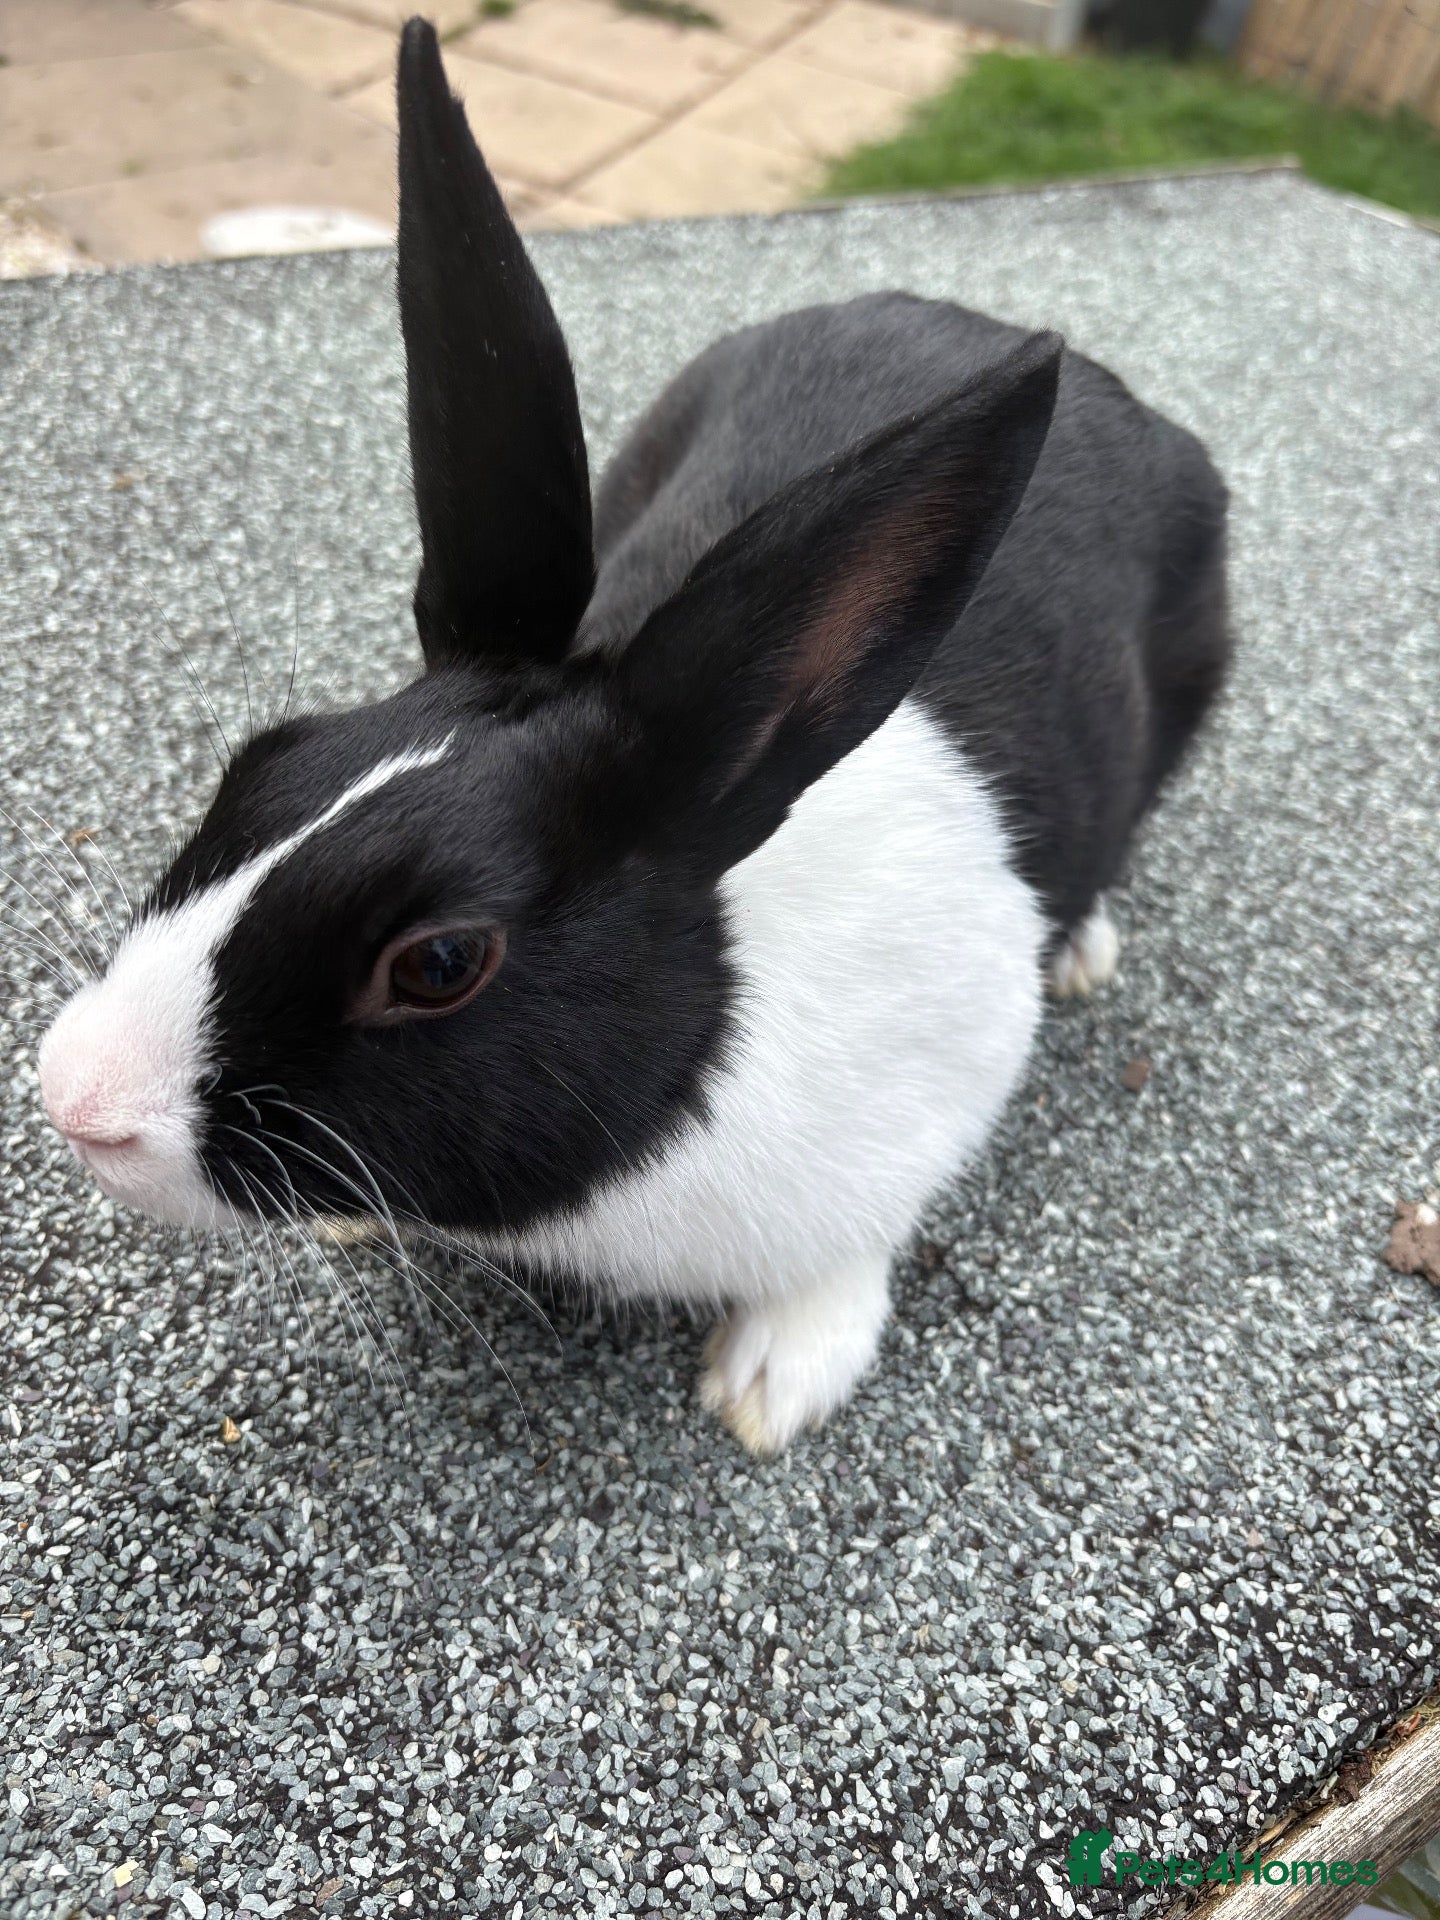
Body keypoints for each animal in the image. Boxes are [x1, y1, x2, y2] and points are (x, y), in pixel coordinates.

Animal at [36, 19, 1230, 1455]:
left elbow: (854, 1249)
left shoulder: (942, 1090)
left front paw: (775, 1384)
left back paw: (1088, 950)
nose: (74, 1097)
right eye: (261, 760)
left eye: (440, 963)